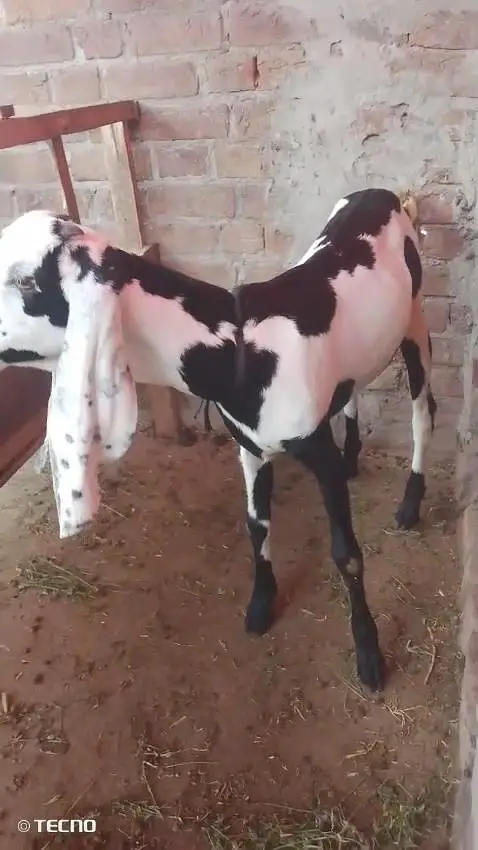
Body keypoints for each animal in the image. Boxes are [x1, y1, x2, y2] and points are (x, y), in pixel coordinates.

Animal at [0, 188, 436, 692]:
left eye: (27, 282)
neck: (240, 349)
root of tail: (384, 194)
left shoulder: (315, 449)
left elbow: (346, 555)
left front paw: (369, 656)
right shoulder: (250, 446)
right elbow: (256, 524)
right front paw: (261, 605)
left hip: (416, 319)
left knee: (423, 411)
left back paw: (411, 502)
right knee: (354, 389)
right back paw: (354, 459)